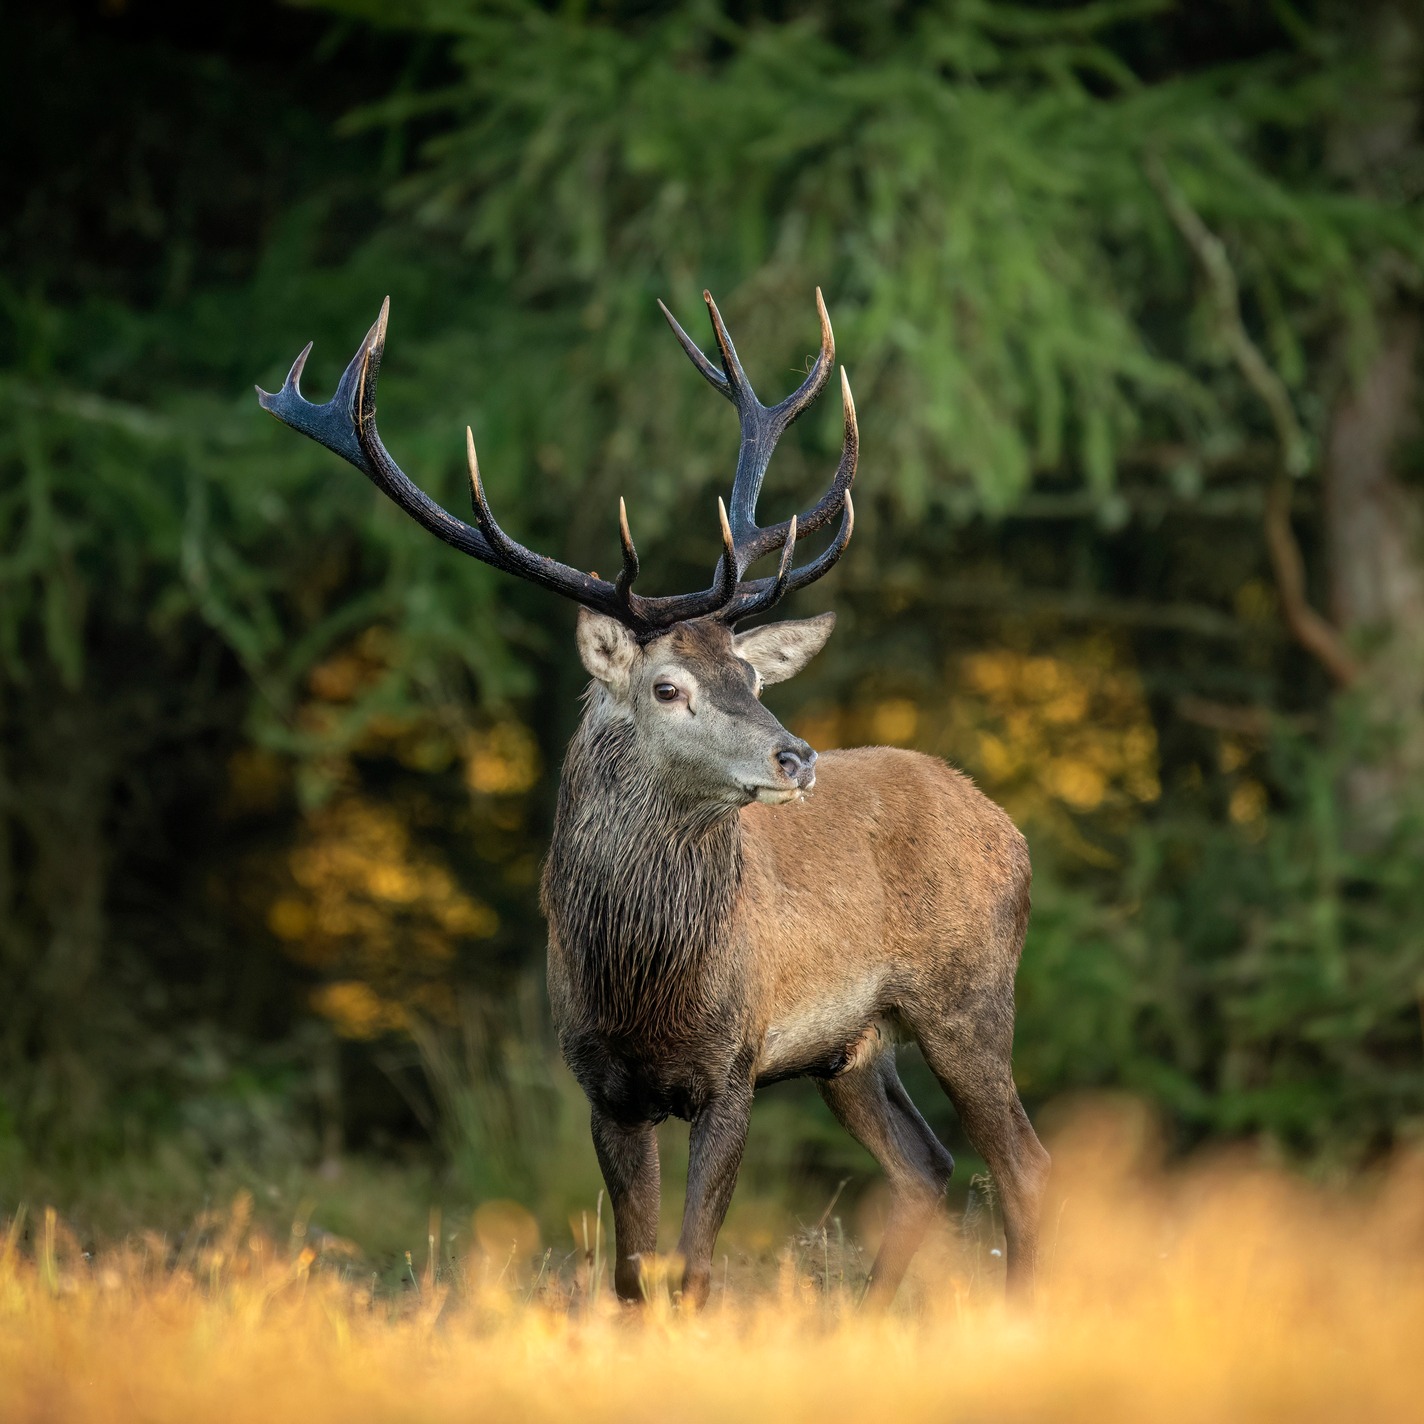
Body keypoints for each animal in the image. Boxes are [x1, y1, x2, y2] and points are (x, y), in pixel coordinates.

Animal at [257, 290, 1050, 1309]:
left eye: (750, 673)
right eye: (668, 687)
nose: (797, 756)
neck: (644, 983)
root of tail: (1005, 824)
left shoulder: (735, 1065)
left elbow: (698, 1267)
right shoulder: (603, 1086)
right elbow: (633, 1273)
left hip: (969, 994)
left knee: (1023, 1165)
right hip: (851, 1046)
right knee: (928, 1164)